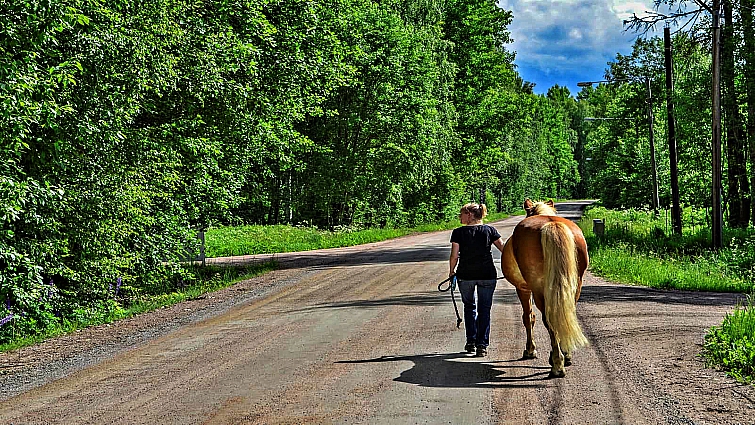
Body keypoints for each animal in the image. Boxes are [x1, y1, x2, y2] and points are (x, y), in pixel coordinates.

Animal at [502, 199, 592, 378]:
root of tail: (552, 224)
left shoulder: (523, 289)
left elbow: (528, 318)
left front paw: (530, 351)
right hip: (574, 286)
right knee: (564, 315)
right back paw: (566, 356)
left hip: (538, 289)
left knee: (549, 319)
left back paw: (557, 365)